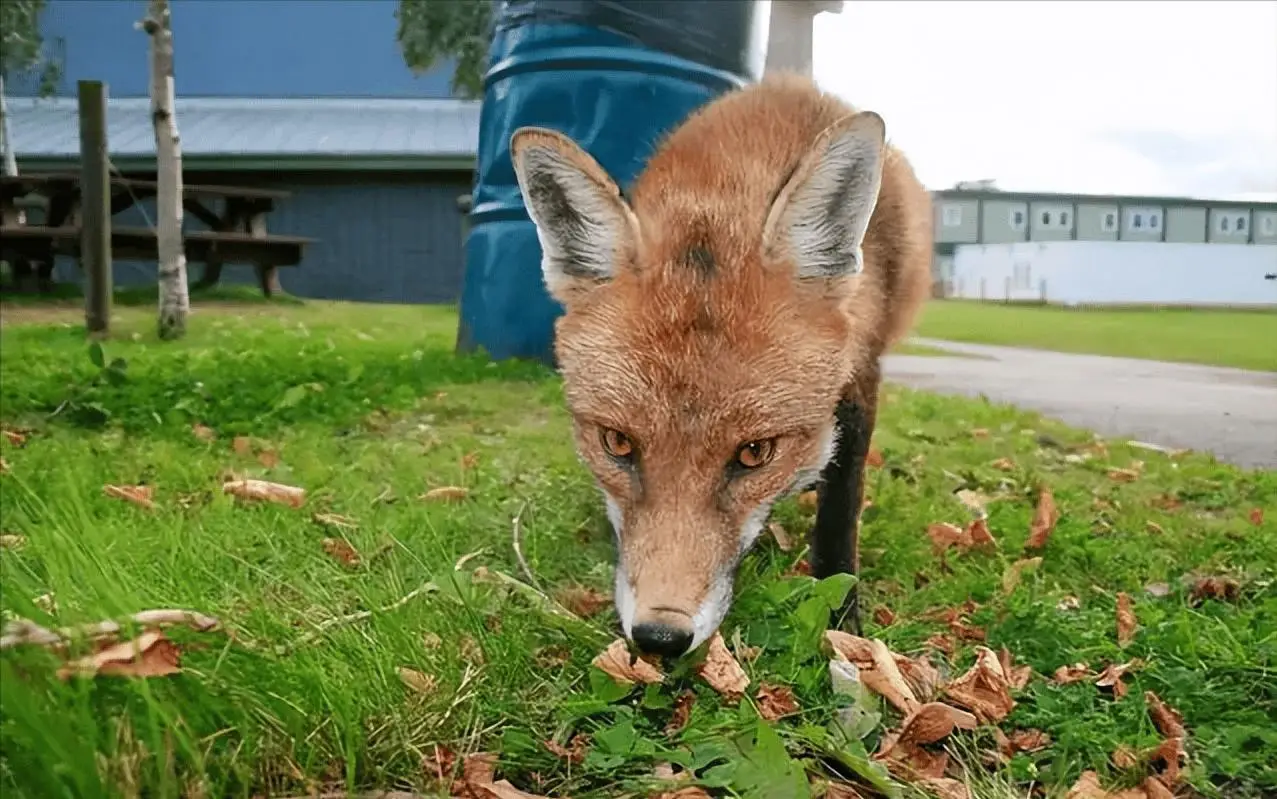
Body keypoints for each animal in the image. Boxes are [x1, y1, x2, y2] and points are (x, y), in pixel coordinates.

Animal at [510, 71, 939, 658]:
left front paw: (843, 624)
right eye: (617, 444)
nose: (660, 637)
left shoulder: (861, 376)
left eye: (755, 453)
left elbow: (840, 514)